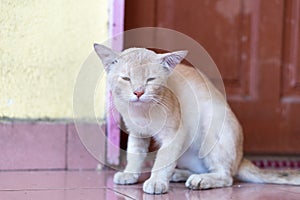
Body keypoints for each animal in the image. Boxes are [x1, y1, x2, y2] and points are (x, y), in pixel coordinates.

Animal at [94, 43, 300, 194]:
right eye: (126, 78)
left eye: (150, 80)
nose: (138, 92)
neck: (142, 112)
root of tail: (241, 158)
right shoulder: (137, 133)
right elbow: (135, 155)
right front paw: (129, 174)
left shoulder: (175, 134)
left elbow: (163, 160)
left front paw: (156, 181)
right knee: (203, 169)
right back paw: (179, 174)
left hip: (211, 129)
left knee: (226, 176)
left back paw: (200, 180)